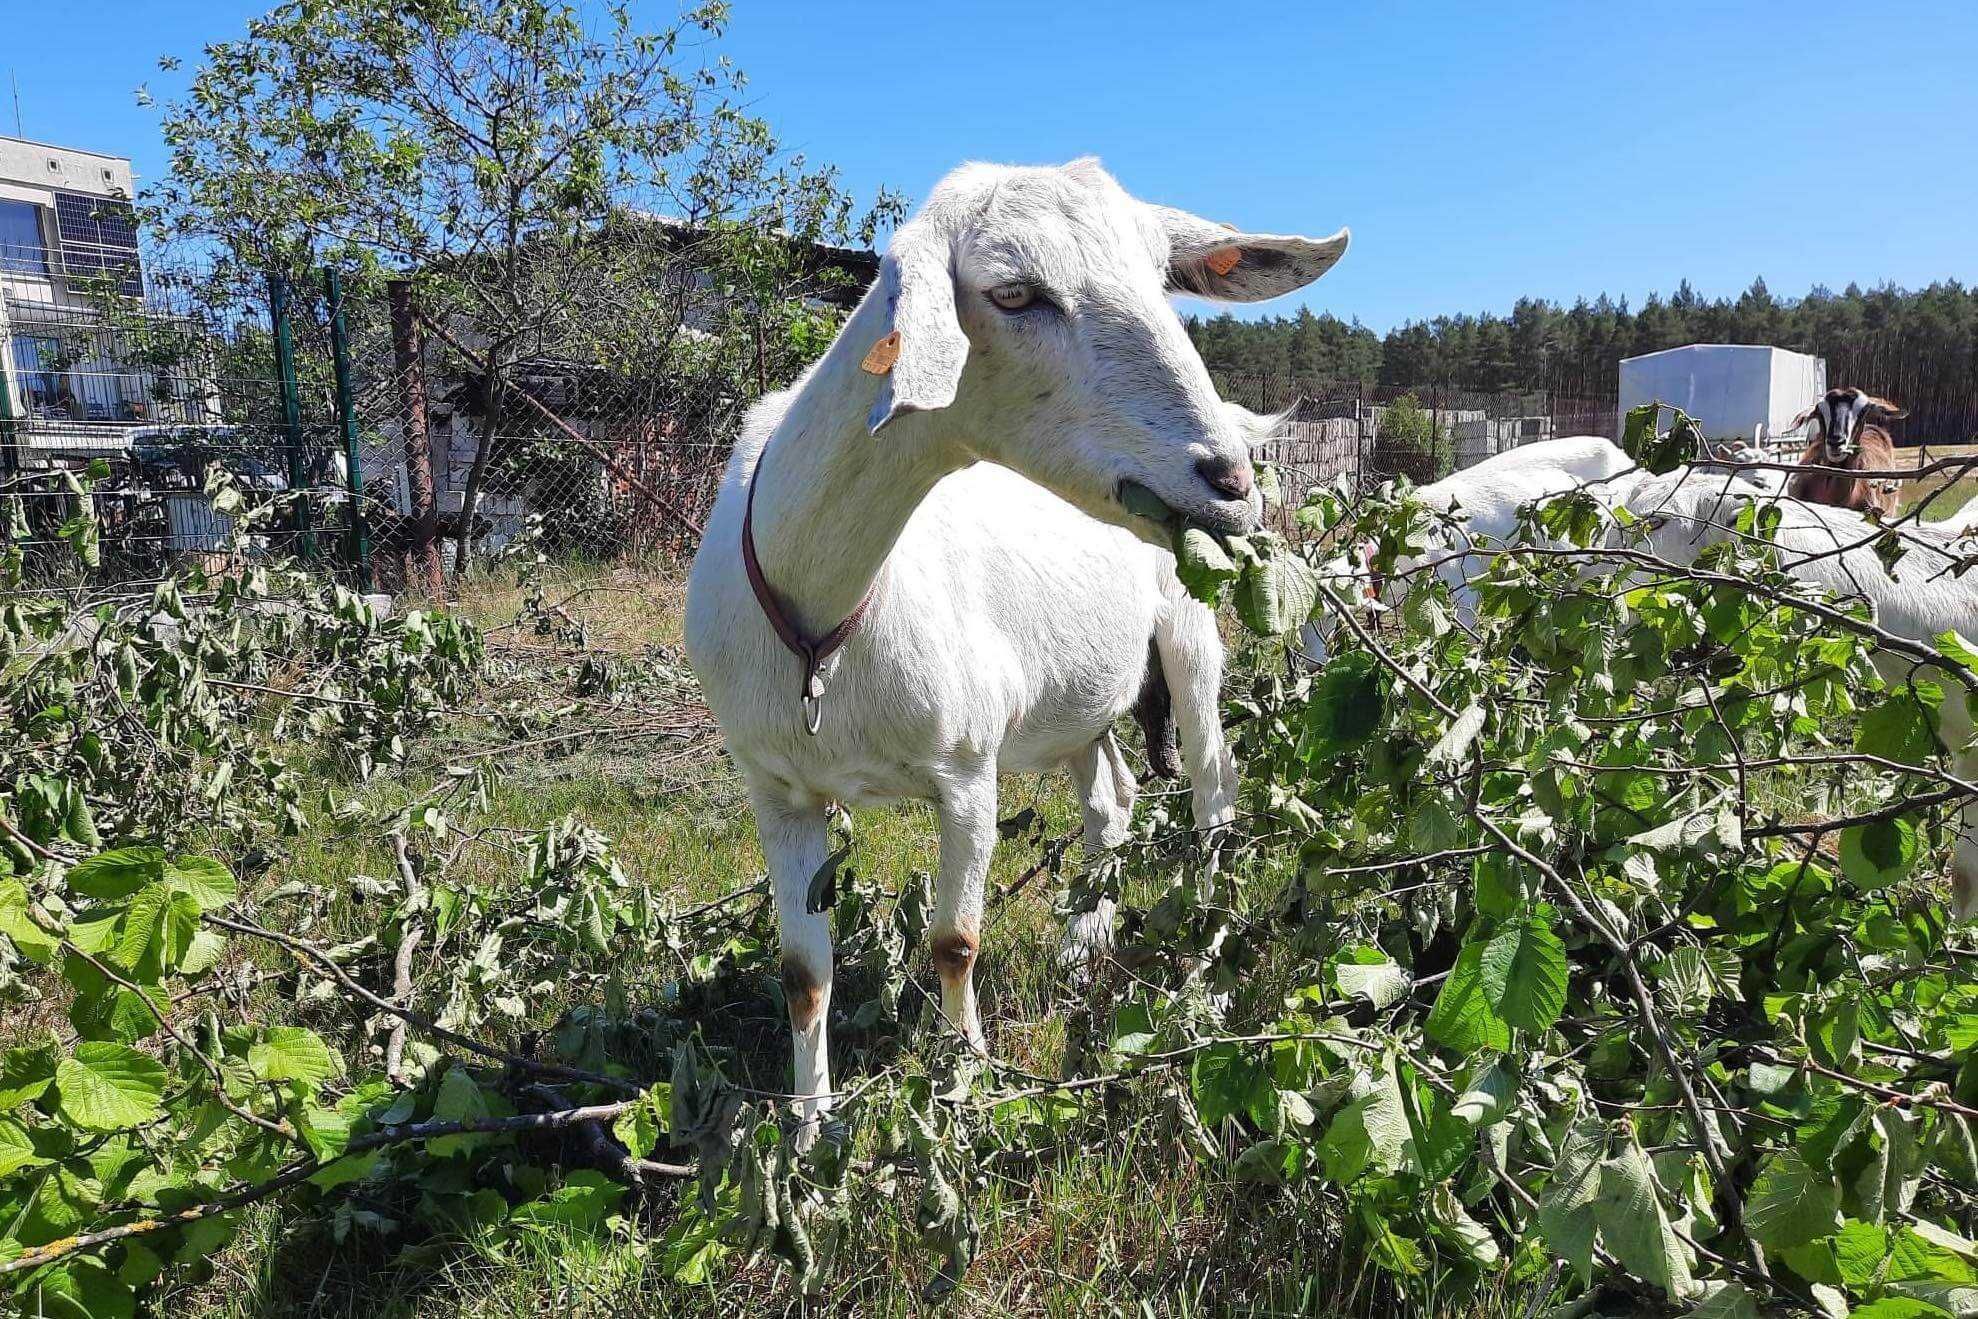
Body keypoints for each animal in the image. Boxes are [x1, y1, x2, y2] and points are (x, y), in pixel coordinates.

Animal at [688, 160, 1352, 1139]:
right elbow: (803, 973)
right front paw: (809, 1129)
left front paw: (964, 1088)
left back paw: (1201, 968)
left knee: (1214, 789)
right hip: (1082, 689)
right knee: (1112, 798)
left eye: (1162, 279)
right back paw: (1083, 948)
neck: (824, 618)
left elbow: (954, 941)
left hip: (1189, 629)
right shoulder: (774, 786)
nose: (1228, 480)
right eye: (1014, 292)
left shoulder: (967, 768)